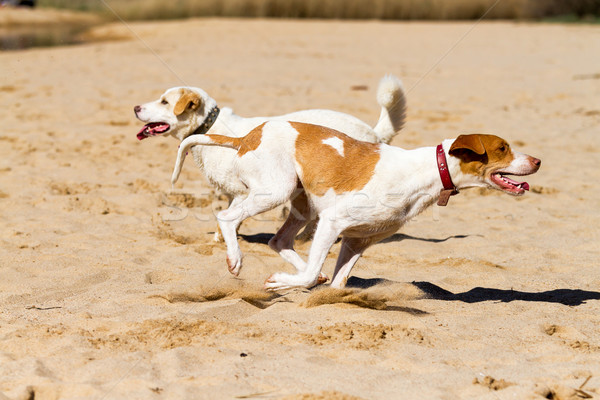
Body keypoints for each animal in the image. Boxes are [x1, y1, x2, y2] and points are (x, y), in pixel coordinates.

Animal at [135, 77, 408, 242]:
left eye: (164, 101)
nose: (136, 107)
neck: (209, 125)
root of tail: (373, 132)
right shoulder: (233, 194)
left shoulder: (241, 192)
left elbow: (225, 221)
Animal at [171, 122, 540, 290]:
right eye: (503, 148)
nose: (538, 161)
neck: (424, 171)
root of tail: (248, 135)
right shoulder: (333, 223)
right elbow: (309, 277)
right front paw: (283, 283)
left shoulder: (358, 239)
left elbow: (337, 283)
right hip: (276, 191)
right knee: (227, 217)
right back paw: (237, 259)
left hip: (302, 204)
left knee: (280, 241)